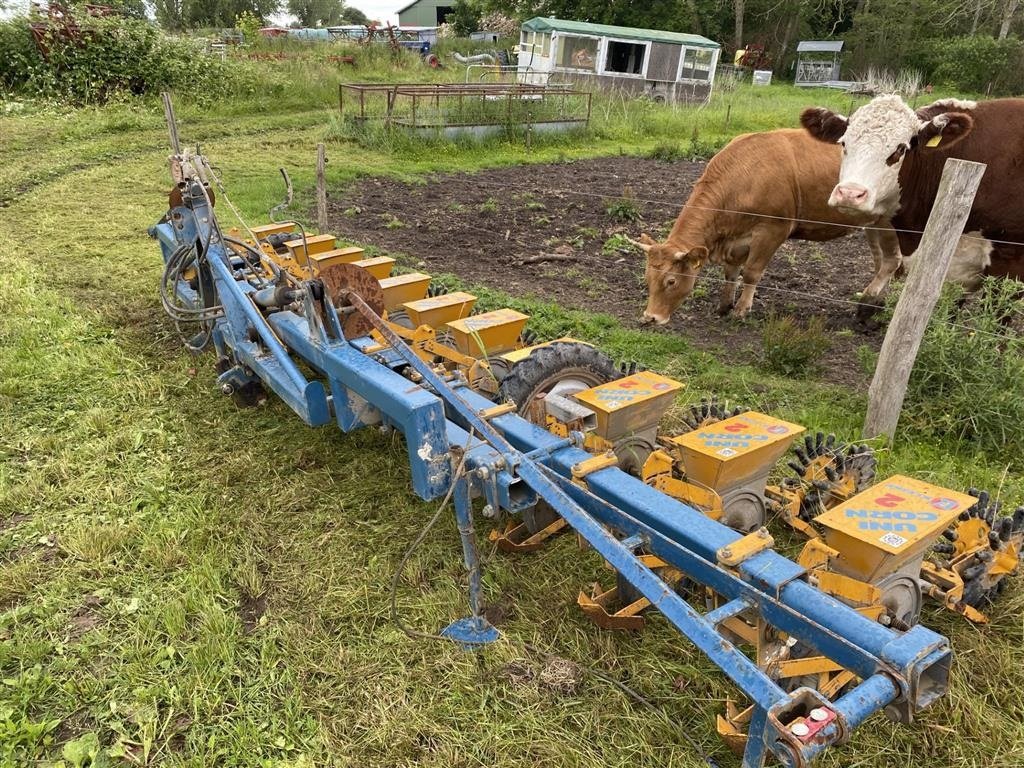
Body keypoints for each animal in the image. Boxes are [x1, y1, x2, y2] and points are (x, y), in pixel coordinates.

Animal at [634, 129, 901, 321]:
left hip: (890, 222)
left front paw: (742, 310)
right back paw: (876, 301)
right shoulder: (737, 239)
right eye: (647, 278)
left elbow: (752, 272)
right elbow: (731, 273)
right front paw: (724, 305)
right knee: (880, 261)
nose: (650, 317)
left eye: (671, 281)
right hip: (873, 224)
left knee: (892, 261)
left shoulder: (773, 230)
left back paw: (867, 303)